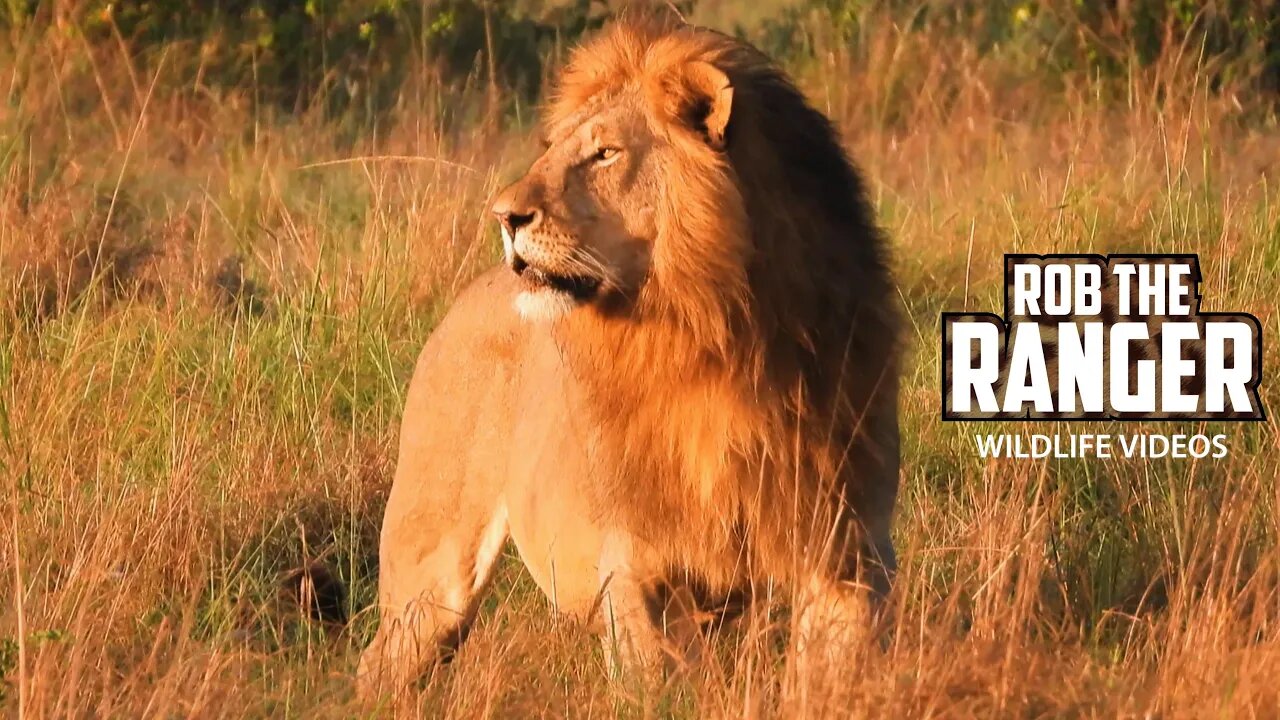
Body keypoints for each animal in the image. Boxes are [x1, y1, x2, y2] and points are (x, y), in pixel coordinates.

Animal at [355, 16, 906, 696]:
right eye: (552, 148)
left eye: (605, 153)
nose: (504, 216)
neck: (707, 338)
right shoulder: (638, 564)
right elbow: (668, 688)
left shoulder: (850, 548)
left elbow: (838, 673)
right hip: (433, 573)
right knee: (383, 659)